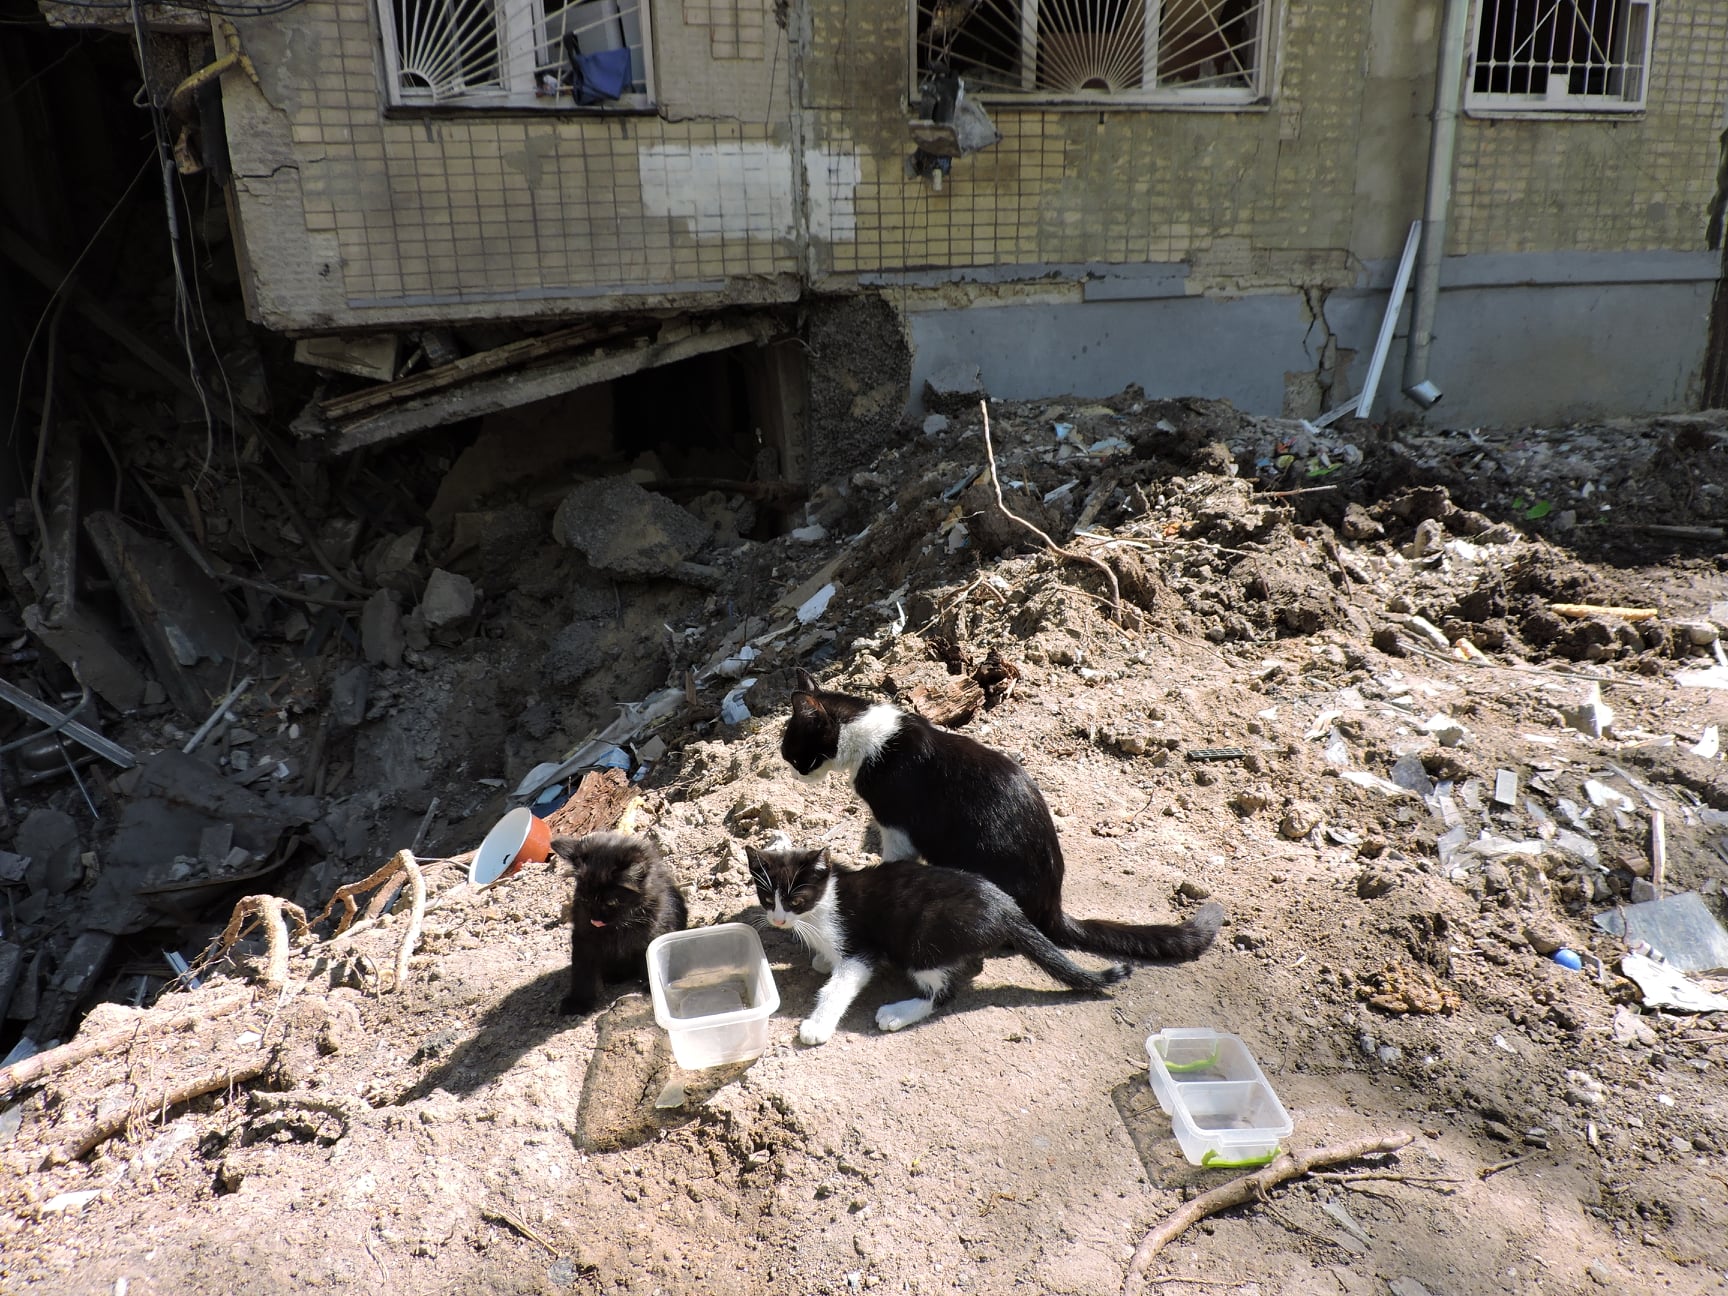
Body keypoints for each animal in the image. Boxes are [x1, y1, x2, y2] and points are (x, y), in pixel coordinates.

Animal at [552, 836, 687, 1022]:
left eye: (611, 903)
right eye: (585, 900)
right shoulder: (583, 937)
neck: (620, 926)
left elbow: (648, 961)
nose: (595, 919)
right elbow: (582, 972)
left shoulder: (655, 931)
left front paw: (649, 986)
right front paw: (578, 1002)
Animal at [746, 843, 1133, 1043]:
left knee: (944, 991)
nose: (777, 920)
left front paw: (817, 1026)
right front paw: (823, 960)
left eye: (795, 901)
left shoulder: (860, 945)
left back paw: (897, 1013)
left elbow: (838, 986)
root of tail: (1006, 906)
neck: (824, 902)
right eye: (767, 899)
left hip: (922, 941)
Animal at [784, 673, 1230, 967]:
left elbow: (894, 863)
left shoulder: (895, 824)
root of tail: (1053, 906)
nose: (788, 767)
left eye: (790, 748)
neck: (867, 735)